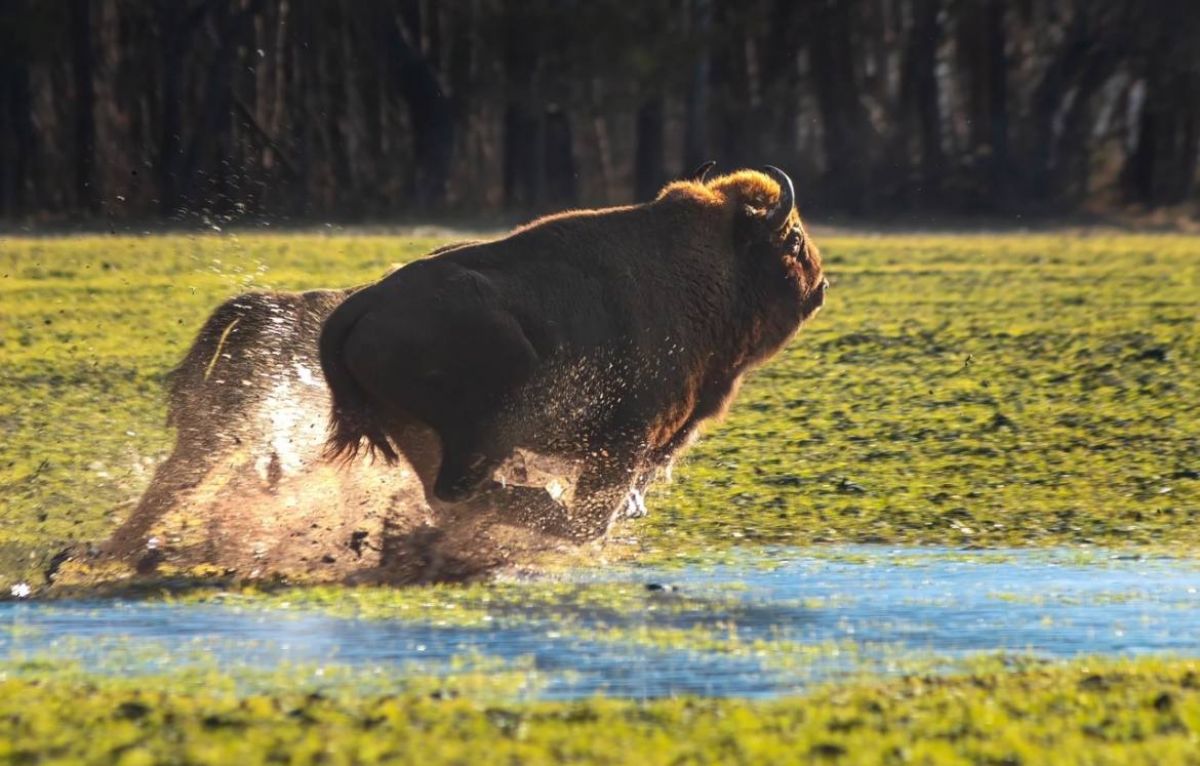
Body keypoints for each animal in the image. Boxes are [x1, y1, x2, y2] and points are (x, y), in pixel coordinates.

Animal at [319, 165, 825, 542]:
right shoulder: (627, 438)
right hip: (484, 428)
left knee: (445, 491)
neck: (714, 268)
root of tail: (364, 302)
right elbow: (596, 509)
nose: (819, 288)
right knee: (460, 489)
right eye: (794, 240)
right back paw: (541, 505)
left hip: (415, 429)